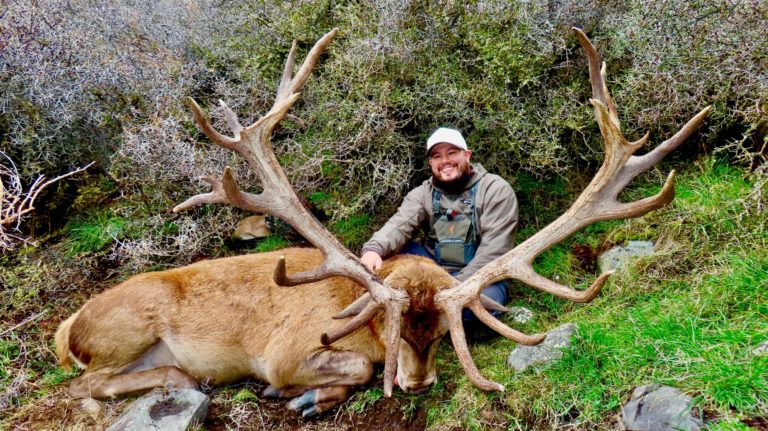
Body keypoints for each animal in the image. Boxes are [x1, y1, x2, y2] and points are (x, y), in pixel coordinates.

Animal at [55, 27, 710, 417]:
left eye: (443, 335)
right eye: (400, 334)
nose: (417, 385)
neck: (363, 320)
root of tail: (66, 329)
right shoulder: (287, 351)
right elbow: (355, 367)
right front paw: (300, 396)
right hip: (124, 329)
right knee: (84, 385)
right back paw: (185, 381)